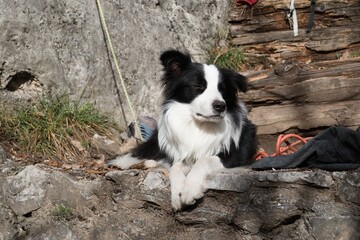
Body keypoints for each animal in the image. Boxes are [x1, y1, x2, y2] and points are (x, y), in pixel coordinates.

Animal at [108, 50, 258, 210]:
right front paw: (177, 194)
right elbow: (175, 166)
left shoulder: (236, 155)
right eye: (198, 86)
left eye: (222, 89)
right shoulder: (182, 155)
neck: (201, 125)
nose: (220, 106)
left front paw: (189, 190)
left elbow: (204, 160)